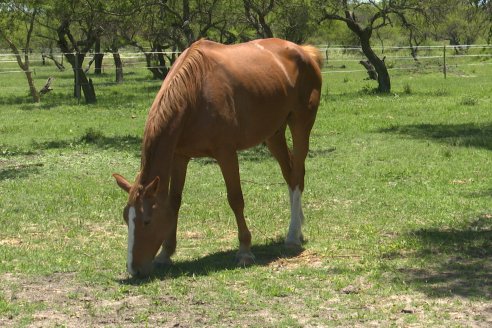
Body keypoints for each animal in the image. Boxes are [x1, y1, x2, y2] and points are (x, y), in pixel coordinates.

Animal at [113, 37, 324, 276]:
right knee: (290, 175)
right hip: (273, 134)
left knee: (296, 175)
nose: (133, 269)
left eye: (147, 221)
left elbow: (235, 199)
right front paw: (166, 253)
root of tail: (304, 51)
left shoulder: (226, 153)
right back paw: (298, 227)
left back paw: (292, 236)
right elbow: (174, 202)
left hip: (300, 124)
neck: (194, 91)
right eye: (126, 218)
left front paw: (244, 251)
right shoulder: (179, 157)